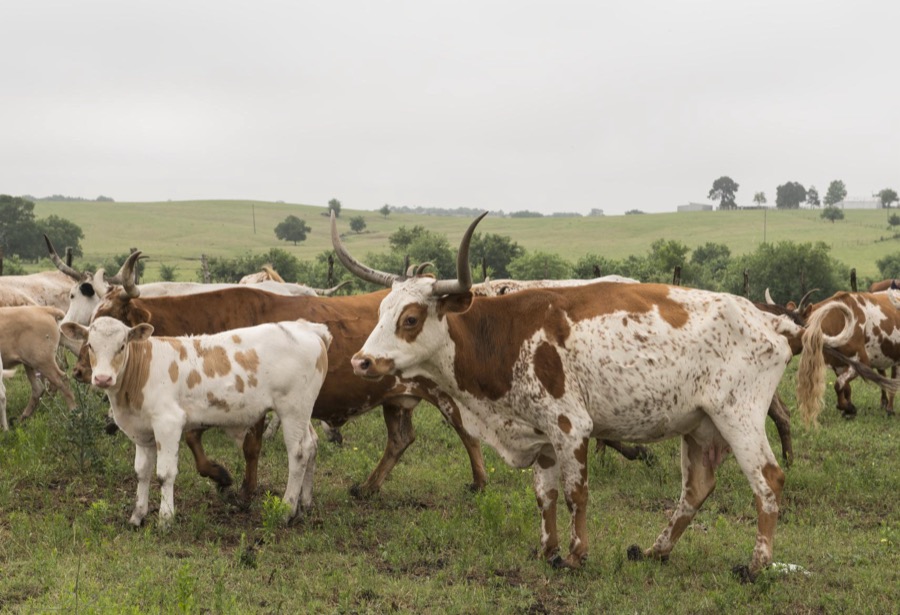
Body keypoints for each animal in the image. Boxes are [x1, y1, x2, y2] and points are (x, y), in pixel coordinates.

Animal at [61, 317, 330, 527]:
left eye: (122, 345)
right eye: (90, 345)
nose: (102, 378)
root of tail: (308, 328)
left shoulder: (168, 423)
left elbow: (164, 473)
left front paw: (165, 518)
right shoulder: (143, 431)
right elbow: (142, 472)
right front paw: (138, 515)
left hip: (293, 408)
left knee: (298, 453)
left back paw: (286, 510)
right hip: (302, 411)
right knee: (311, 445)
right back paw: (305, 503)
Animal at [72, 262, 488, 504]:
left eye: (117, 326)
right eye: (90, 326)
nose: (80, 371)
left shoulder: (250, 402)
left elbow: (248, 447)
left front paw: (241, 488)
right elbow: (195, 440)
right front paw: (223, 477)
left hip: (446, 392)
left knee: (467, 433)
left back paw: (479, 483)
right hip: (396, 399)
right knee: (400, 440)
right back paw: (368, 488)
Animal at [333, 211, 857, 579]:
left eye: (411, 318)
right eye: (381, 310)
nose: (362, 361)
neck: (502, 333)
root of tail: (774, 321)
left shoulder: (570, 426)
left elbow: (575, 493)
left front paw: (576, 556)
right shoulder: (540, 433)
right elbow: (544, 495)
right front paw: (546, 550)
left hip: (740, 416)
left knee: (768, 479)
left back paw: (757, 565)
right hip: (701, 426)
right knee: (697, 488)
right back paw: (655, 551)